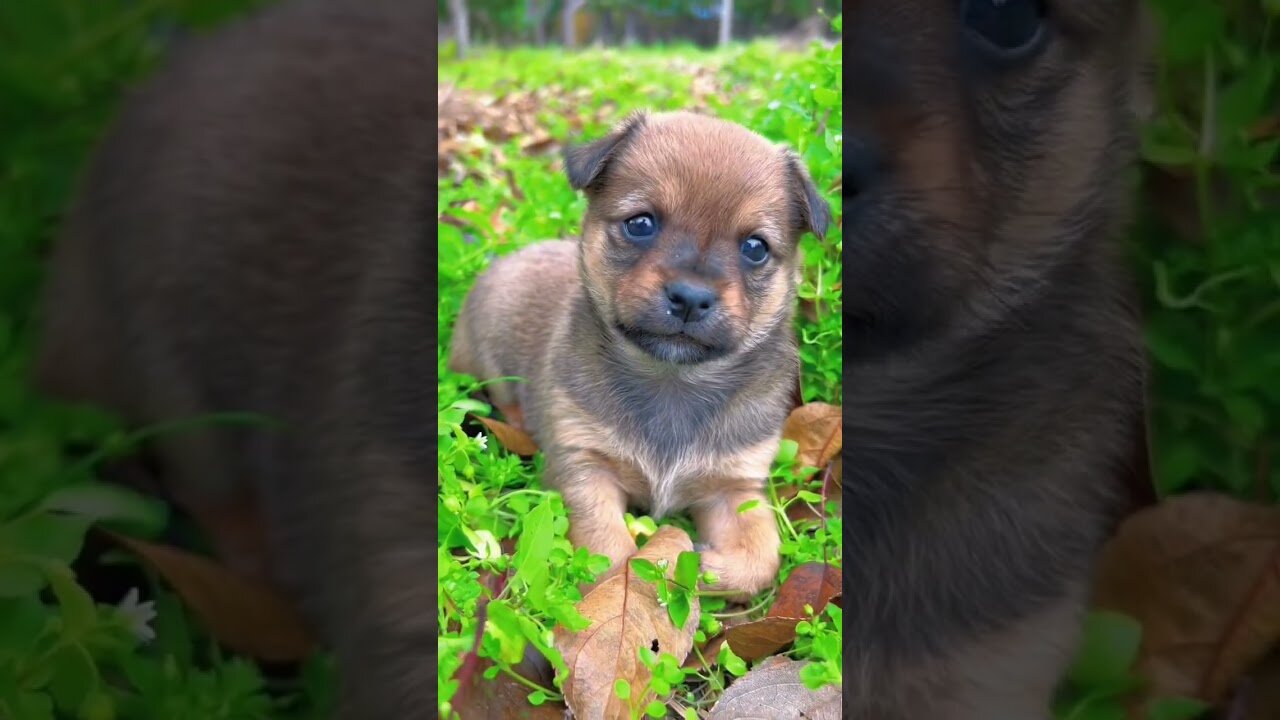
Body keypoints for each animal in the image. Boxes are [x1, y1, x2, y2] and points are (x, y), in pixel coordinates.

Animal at [448, 110, 829, 594]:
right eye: (641, 224)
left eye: (755, 248)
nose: (690, 297)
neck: (672, 381)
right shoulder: (585, 467)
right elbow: (609, 553)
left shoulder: (736, 487)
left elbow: (760, 558)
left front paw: (700, 566)